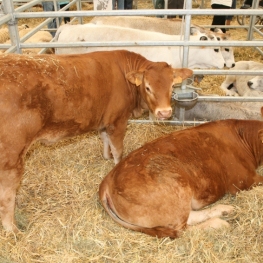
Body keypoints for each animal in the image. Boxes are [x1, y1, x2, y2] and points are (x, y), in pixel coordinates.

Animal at [0, 50, 194, 232]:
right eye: (147, 87)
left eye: (172, 85)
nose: (165, 112)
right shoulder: (117, 121)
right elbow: (118, 149)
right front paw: (115, 163)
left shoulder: (104, 121)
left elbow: (105, 139)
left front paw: (106, 156)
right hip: (11, 156)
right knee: (7, 193)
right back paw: (12, 229)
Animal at [99, 119, 263, 239]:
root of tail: (107, 181)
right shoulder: (244, 179)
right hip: (177, 189)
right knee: (181, 230)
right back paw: (219, 223)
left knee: (190, 216)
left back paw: (223, 210)